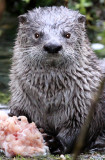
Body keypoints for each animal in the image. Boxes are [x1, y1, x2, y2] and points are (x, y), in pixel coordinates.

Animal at [8, 6, 105, 154]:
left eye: (67, 34)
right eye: (37, 34)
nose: (52, 46)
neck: (49, 99)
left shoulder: (85, 104)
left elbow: (77, 131)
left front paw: (54, 142)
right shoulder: (20, 98)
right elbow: (18, 113)